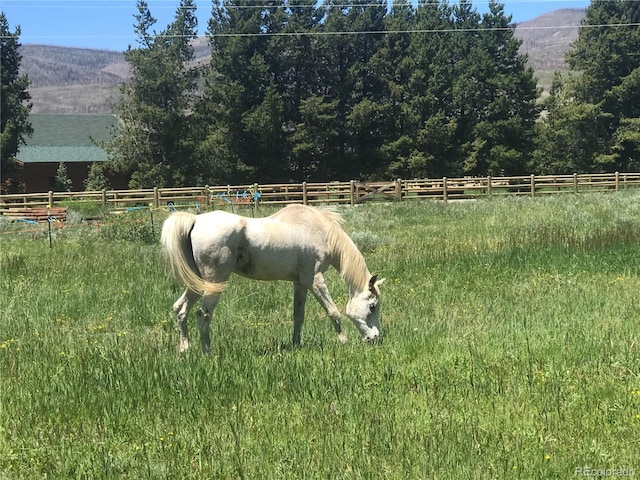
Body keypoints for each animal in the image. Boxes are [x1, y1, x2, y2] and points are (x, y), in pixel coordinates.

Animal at [160, 203, 384, 352]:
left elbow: (298, 315)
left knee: (180, 308)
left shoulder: (300, 283)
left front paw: (296, 344)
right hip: (214, 282)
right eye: (372, 306)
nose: (375, 338)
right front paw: (343, 342)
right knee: (203, 314)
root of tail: (195, 220)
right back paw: (208, 352)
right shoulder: (315, 280)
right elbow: (333, 312)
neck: (319, 230)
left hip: (197, 283)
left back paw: (185, 348)